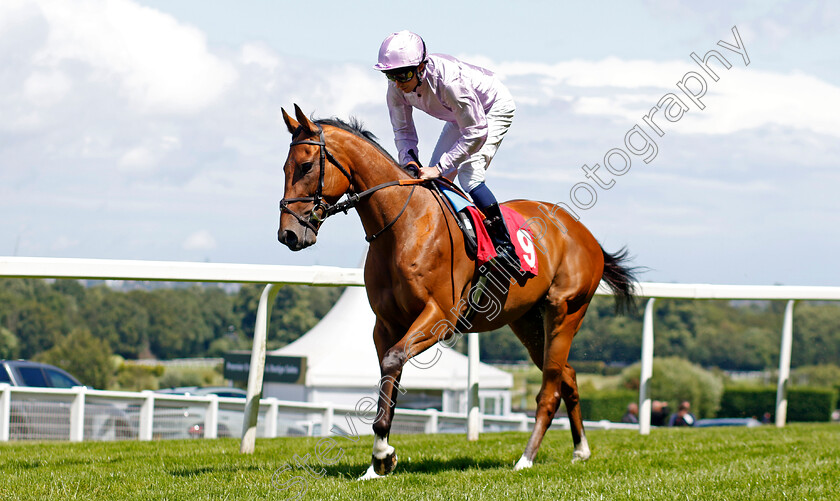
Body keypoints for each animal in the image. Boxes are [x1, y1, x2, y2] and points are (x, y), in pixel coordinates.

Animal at [278, 104, 636, 476]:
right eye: (284, 167)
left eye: (306, 166)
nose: (288, 234)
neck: (404, 226)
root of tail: (585, 234)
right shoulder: (385, 325)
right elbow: (389, 376)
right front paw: (379, 461)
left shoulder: (440, 318)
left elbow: (393, 360)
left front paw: (381, 453)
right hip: (527, 322)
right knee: (568, 376)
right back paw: (580, 449)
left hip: (564, 312)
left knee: (550, 389)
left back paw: (526, 458)